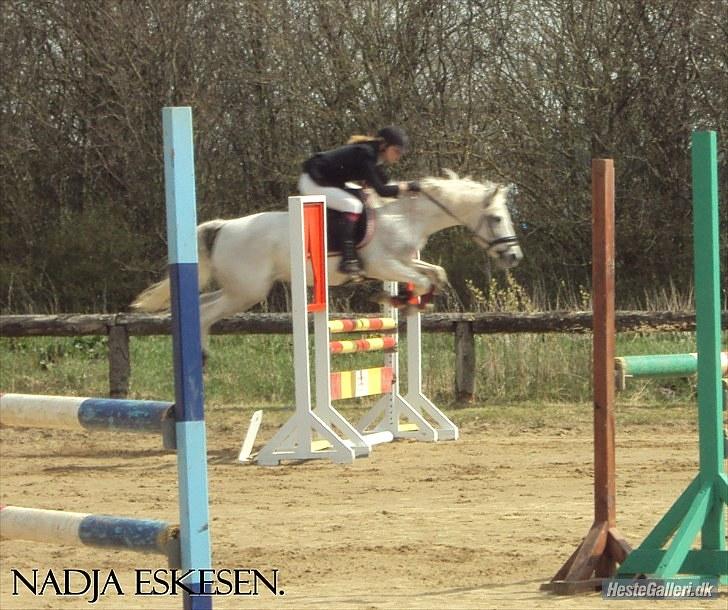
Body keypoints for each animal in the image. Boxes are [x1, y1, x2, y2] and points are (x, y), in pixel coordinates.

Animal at [131, 172, 523, 350]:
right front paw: (402, 301)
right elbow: (424, 280)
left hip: (239, 289)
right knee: (207, 313)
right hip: (248, 291)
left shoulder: (402, 262)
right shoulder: (382, 264)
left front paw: (406, 301)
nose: (514, 256)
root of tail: (224, 227)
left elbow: (434, 273)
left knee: (202, 305)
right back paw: (201, 357)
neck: (405, 215)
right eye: (496, 218)